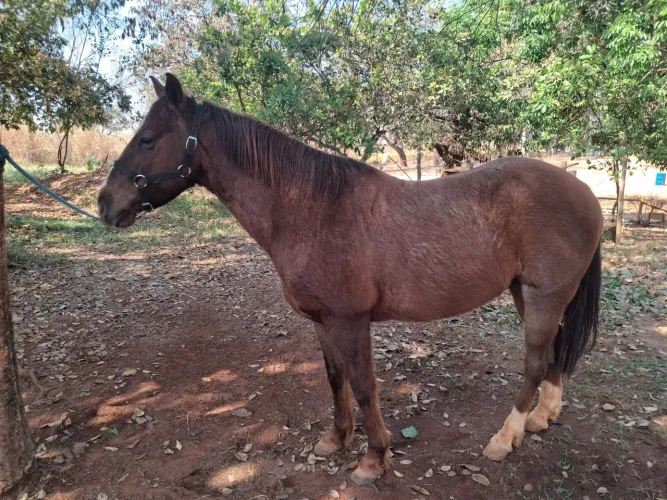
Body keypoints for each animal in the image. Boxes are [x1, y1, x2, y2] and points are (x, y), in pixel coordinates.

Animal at [97, 74, 603, 485]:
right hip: (528, 294)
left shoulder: (351, 321)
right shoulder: (323, 321)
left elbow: (362, 386)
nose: (106, 204)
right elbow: (334, 377)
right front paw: (336, 439)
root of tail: (583, 191)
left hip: (543, 296)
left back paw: (504, 437)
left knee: (534, 363)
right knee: (552, 354)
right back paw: (541, 418)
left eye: (147, 140)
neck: (313, 209)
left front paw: (373, 459)